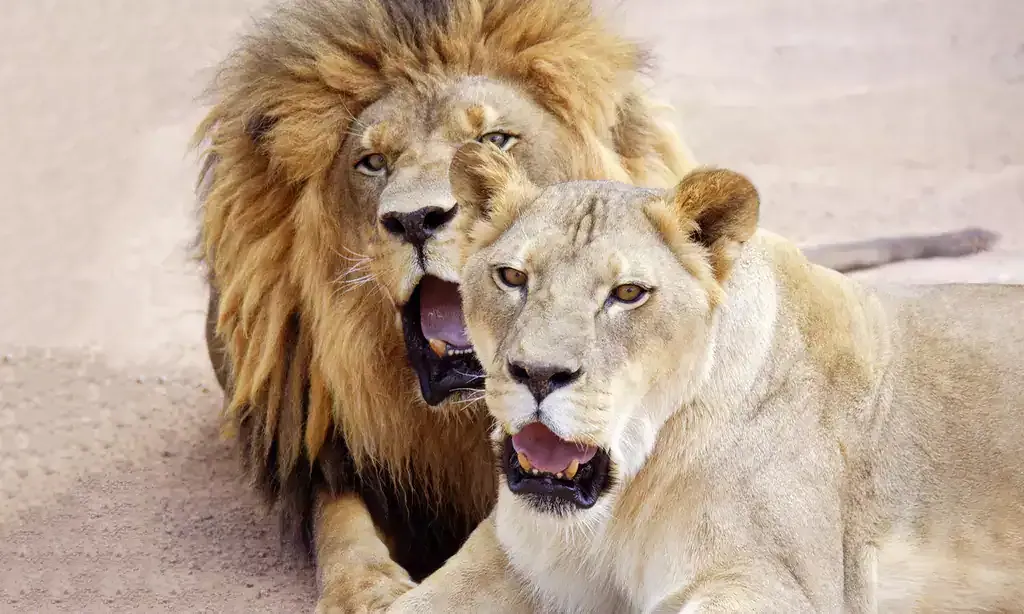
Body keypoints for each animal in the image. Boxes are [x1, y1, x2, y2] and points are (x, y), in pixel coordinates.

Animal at [383, 142, 1024, 613]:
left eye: (628, 294)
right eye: (512, 277)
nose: (538, 374)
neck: (620, 502)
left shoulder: (777, 582)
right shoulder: (511, 559)